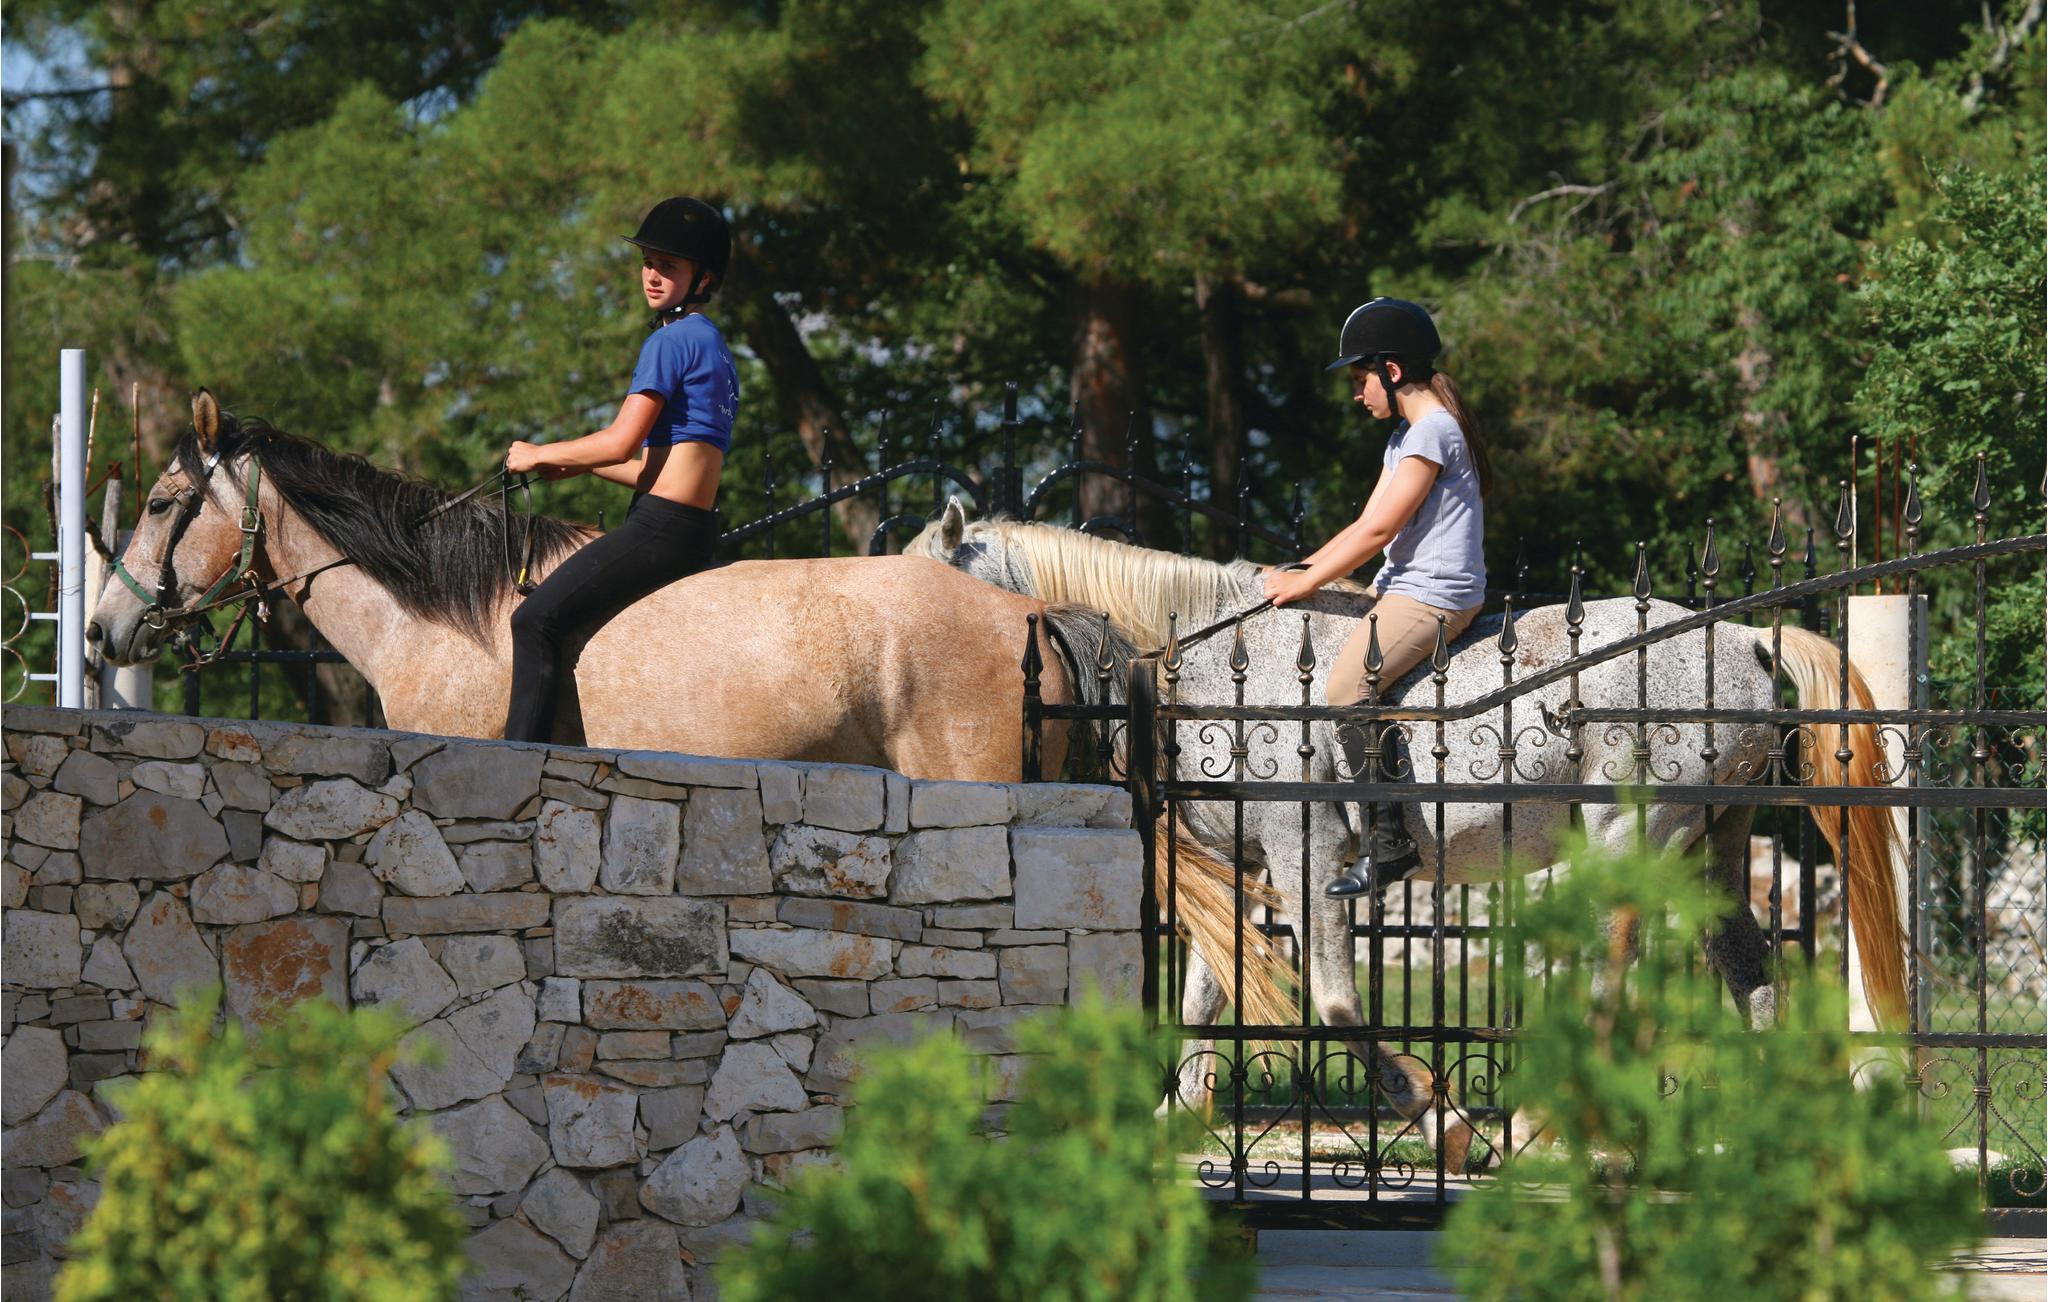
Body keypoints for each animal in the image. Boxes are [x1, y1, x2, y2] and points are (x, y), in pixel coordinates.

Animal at [908, 501, 1909, 1160]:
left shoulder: (1309, 858)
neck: (1218, 653)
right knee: (1756, 984)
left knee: (1611, 981)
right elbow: (1203, 999)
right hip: (1711, 853)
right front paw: (1174, 1126)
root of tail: (1743, 640)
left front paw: (1447, 1126)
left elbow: (1336, 1003)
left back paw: (1538, 1126)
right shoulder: (1244, 864)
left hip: (1631, 844)